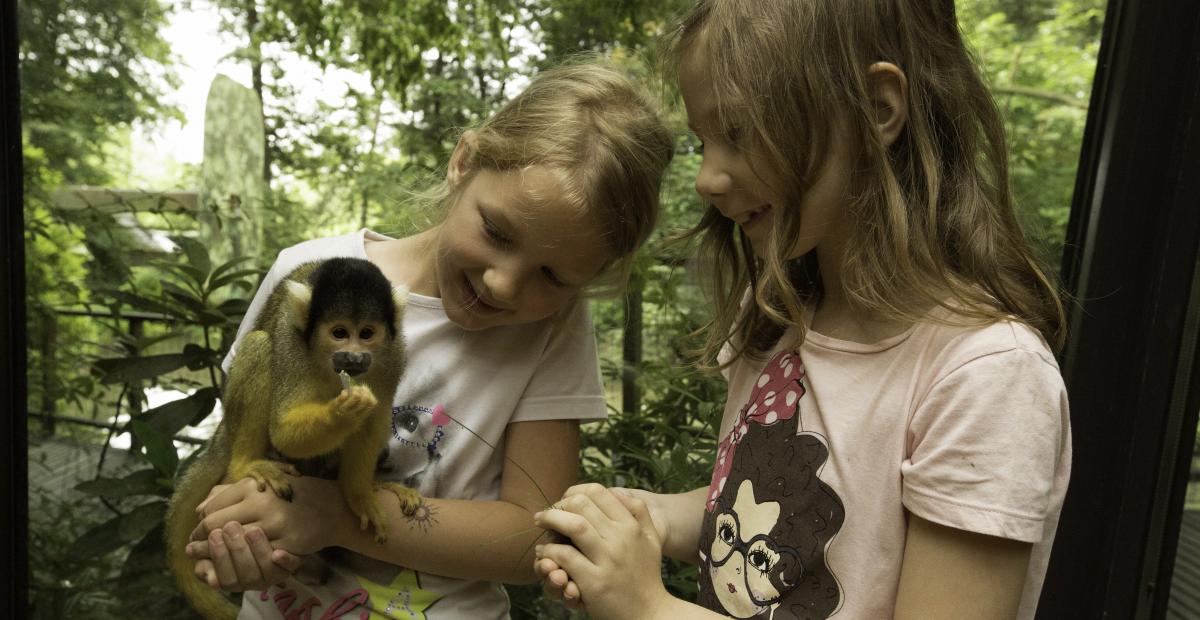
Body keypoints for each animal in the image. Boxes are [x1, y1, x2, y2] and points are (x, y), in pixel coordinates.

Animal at [164, 257, 417, 618]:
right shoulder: (292, 345)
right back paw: (244, 465)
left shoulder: (393, 355)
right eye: (340, 333)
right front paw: (344, 411)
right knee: (259, 345)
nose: (354, 357)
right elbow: (284, 429)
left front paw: (359, 494)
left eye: (367, 334)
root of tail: (224, 430)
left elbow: (375, 419)